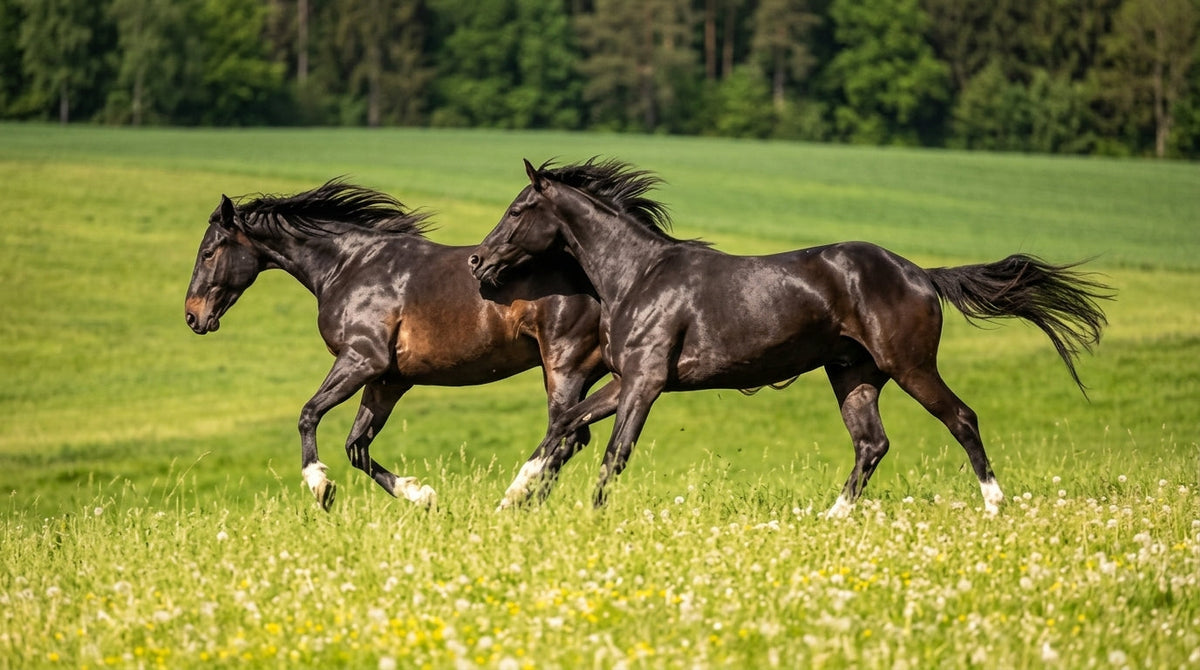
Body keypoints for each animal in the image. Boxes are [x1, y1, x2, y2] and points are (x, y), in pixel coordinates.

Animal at [185, 179, 606, 510]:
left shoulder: (361, 360)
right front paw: (421, 495)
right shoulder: (388, 380)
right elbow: (357, 447)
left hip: (562, 367)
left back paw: (516, 497)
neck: (350, 267)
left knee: (566, 433)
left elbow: (308, 414)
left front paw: (321, 486)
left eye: (208, 253)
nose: (192, 316)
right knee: (574, 434)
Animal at [468, 158, 1112, 516]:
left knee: (962, 418)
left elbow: (612, 453)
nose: (477, 262)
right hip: (854, 375)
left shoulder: (646, 383)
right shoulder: (628, 380)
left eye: (519, 209)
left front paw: (590, 515)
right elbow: (563, 426)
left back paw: (996, 504)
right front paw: (514, 497)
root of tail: (921, 274)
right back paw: (831, 518)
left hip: (910, 366)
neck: (638, 276)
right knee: (872, 444)